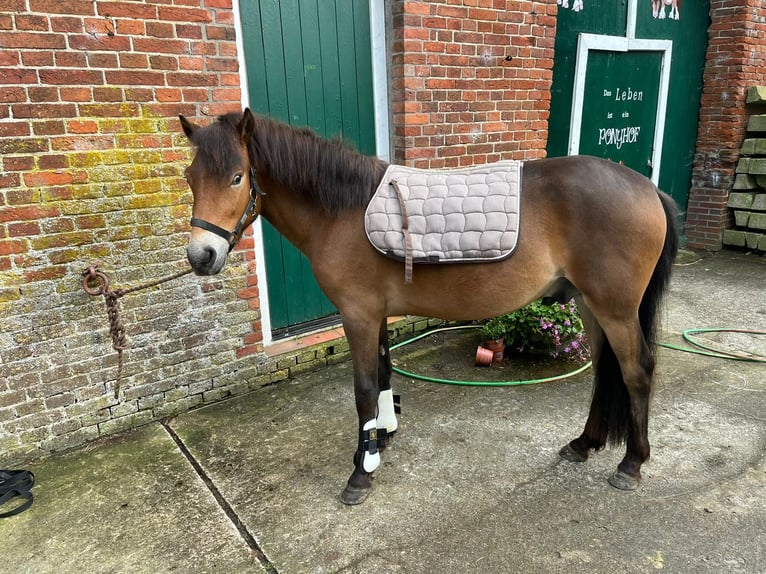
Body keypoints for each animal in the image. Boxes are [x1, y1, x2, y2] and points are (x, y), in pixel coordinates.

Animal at [183, 108, 680, 504]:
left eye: (237, 177)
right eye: (190, 177)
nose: (201, 256)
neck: (342, 210)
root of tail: (649, 189)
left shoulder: (358, 314)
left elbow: (364, 390)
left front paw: (360, 473)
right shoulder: (377, 314)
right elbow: (384, 375)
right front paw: (379, 442)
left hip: (614, 309)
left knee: (637, 371)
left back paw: (631, 464)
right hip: (590, 305)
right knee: (604, 372)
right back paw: (584, 443)